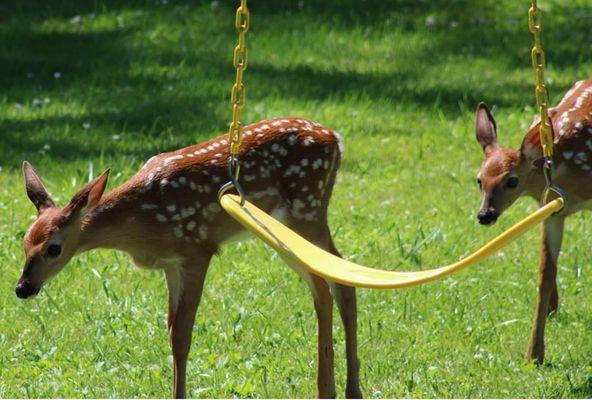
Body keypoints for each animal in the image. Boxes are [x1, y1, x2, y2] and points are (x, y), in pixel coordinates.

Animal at [16, 117, 364, 398]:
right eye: (24, 242)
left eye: (53, 248)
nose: (22, 288)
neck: (141, 221)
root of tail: (335, 138)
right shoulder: (171, 264)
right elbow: (171, 331)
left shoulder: (197, 249)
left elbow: (183, 335)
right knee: (341, 280)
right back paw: (350, 389)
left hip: (303, 213)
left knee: (324, 284)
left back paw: (326, 389)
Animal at [474, 78, 592, 362]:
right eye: (479, 180)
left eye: (512, 181)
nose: (485, 215)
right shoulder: (552, 209)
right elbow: (544, 274)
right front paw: (534, 352)